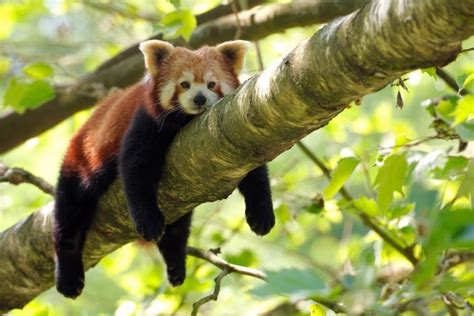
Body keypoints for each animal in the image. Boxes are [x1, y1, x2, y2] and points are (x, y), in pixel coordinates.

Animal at [52, 39, 274, 298]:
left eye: (212, 84)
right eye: (184, 84)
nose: (199, 99)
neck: (186, 121)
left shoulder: (237, 134)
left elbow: (255, 173)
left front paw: (261, 214)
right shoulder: (146, 121)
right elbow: (136, 170)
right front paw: (149, 222)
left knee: (178, 227)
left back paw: (175, 262)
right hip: (82, 161)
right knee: (70, 213)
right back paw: (68, 275)